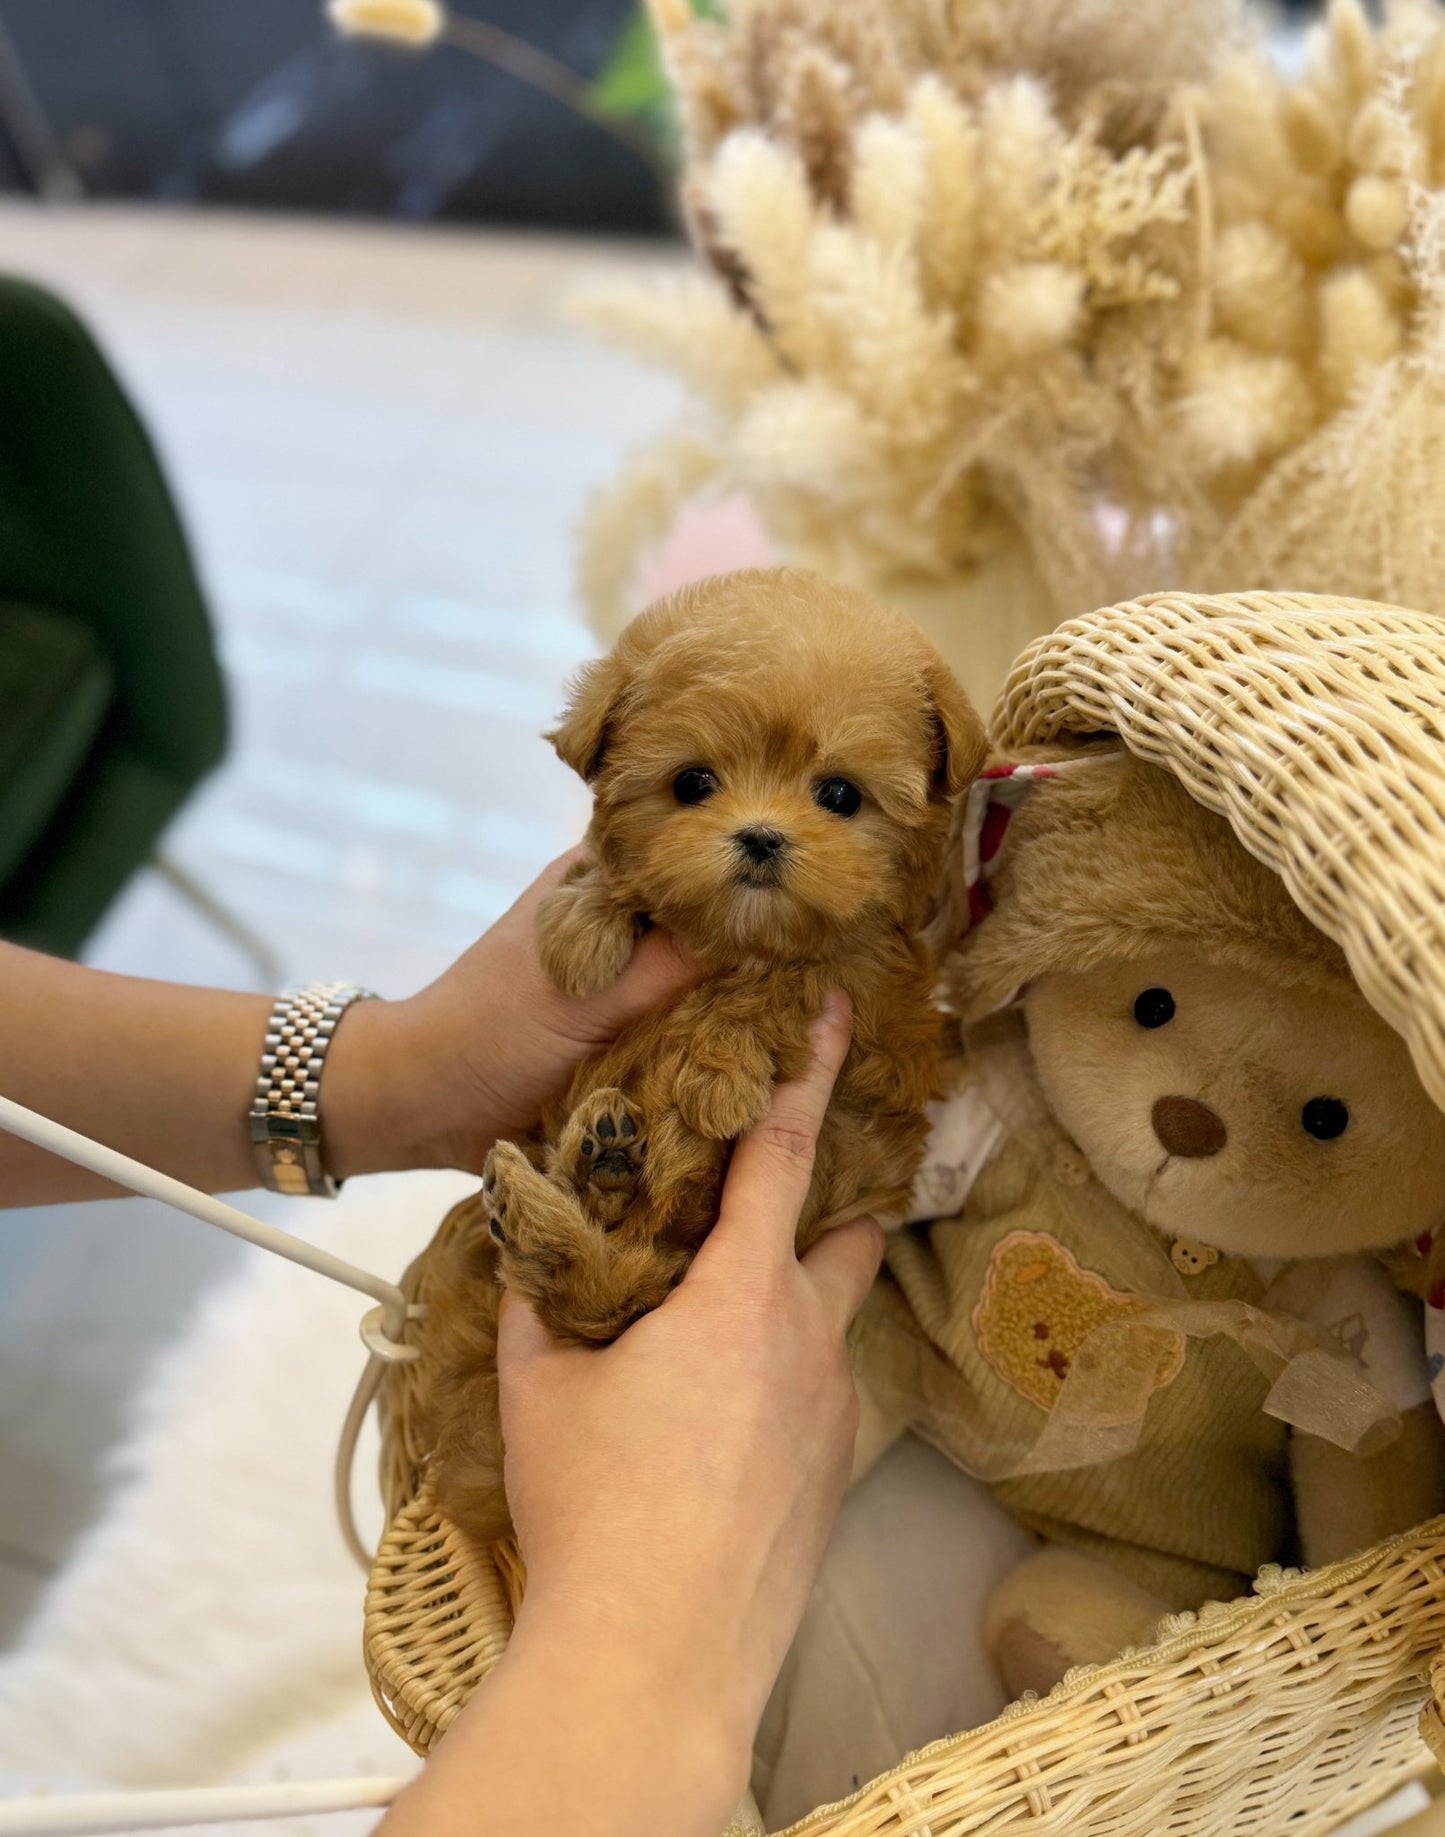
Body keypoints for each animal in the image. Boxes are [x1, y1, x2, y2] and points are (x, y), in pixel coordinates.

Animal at [418, 565, 984, 1543]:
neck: (740, 932)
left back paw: (600, 1162)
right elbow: (608, 878)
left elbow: (778, 986)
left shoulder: (867, 993)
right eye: (691, 783)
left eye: (840, 795)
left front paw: (716, 1072)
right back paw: (597, 1155)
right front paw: (580, 931)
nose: (759, 836)